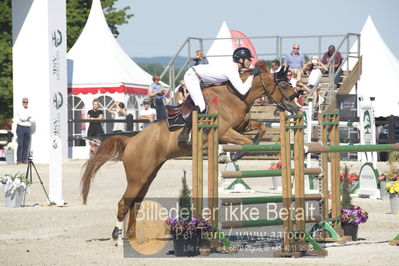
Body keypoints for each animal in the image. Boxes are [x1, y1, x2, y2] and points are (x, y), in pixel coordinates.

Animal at [80, 61, 300, 241]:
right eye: (284, 85)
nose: (296, 106)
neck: (237, 95)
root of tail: (132, 140)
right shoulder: (225, 131)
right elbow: (245, 143)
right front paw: (230, 154)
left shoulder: (241, 126)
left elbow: (260, 129)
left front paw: (233, 152)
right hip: (137, 178)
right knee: (123, 204)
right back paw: (117, 235)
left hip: (147, 177)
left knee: (135, 204)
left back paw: (133, 237)